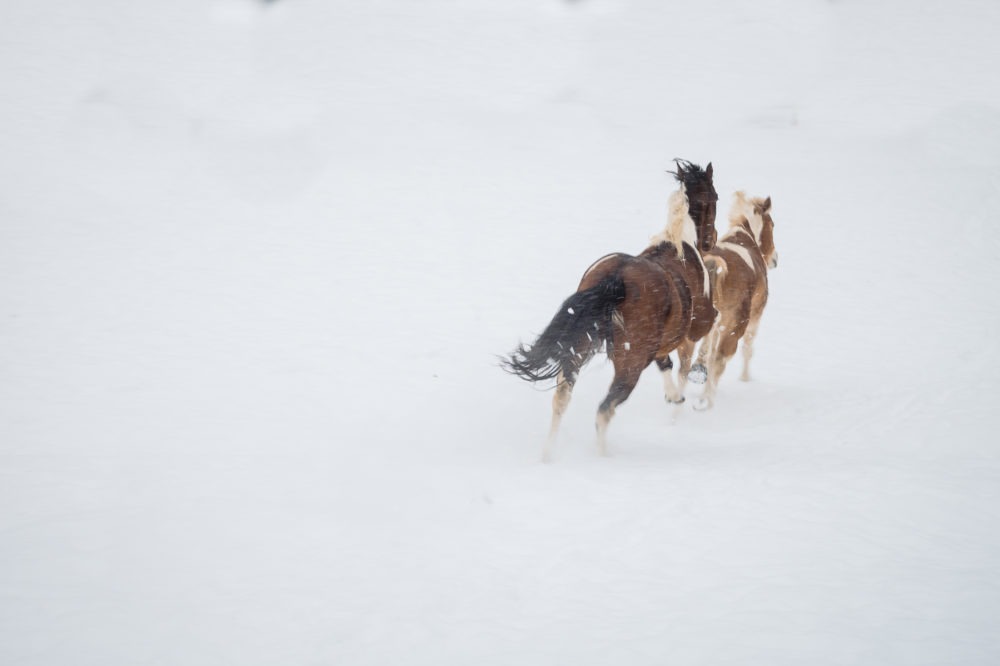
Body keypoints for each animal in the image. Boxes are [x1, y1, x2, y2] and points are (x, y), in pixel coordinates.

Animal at [502, 175, 715, 461]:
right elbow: (689, 356)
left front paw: (674, 397)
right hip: (629, 365)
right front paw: (687, 389)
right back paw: (603, 457)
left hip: (578, 352)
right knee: (604, 410)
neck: (678, 245)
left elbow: (666, 364)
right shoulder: (698, 325)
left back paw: (548, 455)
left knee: (561, 399)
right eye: (715, 196)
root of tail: (616, 278)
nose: (711, 242)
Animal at [692, 191, 779, 410]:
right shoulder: (754, 317)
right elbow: (747, 349)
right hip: (736, 326)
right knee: (719, 361)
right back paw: (707, 400)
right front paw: (745, 379)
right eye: (772, 225)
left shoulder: (716, 326)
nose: (775, 259)